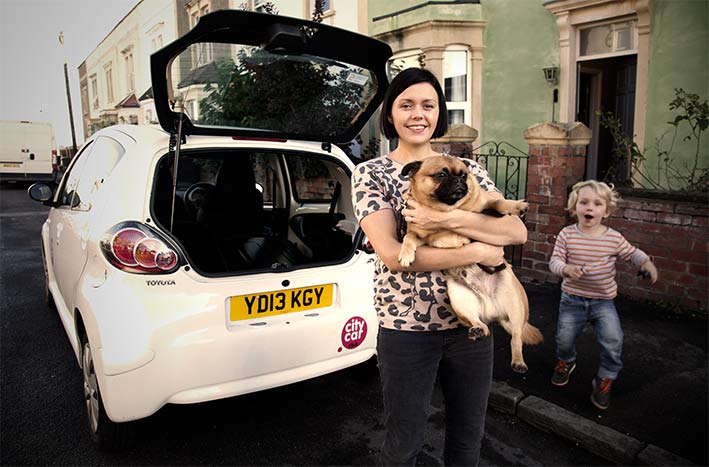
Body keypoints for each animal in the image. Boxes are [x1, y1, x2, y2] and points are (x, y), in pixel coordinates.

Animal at [398, 155, 543, 373]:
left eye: (464, 175)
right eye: (441, 175)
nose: (459, 181)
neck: (448, 209)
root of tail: (493, 311)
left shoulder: (487, 203)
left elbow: (498, 201)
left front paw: (515, 206)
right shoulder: (419, 235)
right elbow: (409, 237)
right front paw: (405, 254)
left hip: (515, 303)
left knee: (516, 337)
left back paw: (518, 361)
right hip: (459, 298)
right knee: (480, 325)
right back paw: (477, 331)